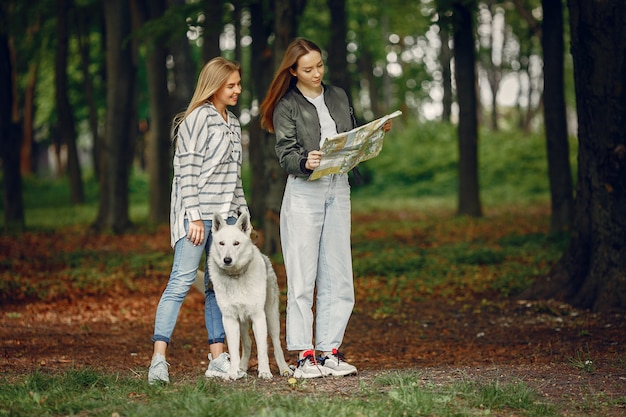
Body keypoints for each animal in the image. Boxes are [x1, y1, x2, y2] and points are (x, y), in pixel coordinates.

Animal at [206, 213, 292, 378]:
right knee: (247, 344)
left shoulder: (258, 316)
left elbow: (263, 350)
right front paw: (233, 372)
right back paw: (242, 368)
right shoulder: (230, 319)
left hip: (271, 317)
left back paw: (284, 369)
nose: (227, 260)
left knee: (276, 344)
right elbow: (234, 350)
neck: (236, 277)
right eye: (221, 243)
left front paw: (264, 372)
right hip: (243, 322)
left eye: (236, 243)